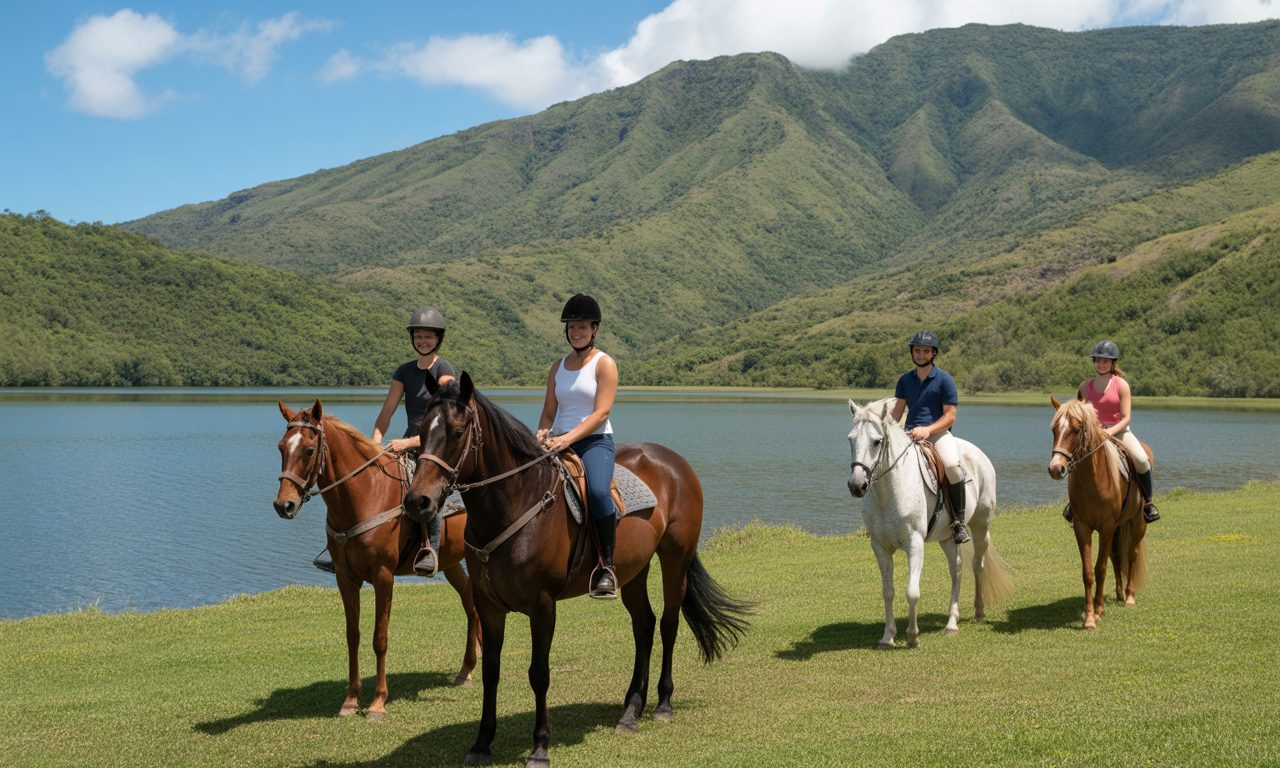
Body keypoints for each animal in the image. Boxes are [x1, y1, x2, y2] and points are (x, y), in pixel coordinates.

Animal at [273, 400, 481, 720]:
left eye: (308, 449)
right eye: (281, 447)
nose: (284, 505)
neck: (366, 495)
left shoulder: (383, 577)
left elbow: (379, 638)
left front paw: (378, 702)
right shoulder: (345, 578)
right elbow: (353, 636)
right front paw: (350, 700)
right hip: (450, 562)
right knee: (470, 601)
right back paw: (466, 669)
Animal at [401, 373, 752, 768]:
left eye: (458, 431)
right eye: (421, 431)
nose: (417, 501)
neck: (517, 501)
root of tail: (674, 462)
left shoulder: (542, 604)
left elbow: (539, 674)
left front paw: (540, 748)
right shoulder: (488, 605)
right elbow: (491, 671)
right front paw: (482, 743)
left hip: (675, 559)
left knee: (668, 625)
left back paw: (663, 703)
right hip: (632, 571)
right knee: (644, 626)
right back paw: (631, 710)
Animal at [846, 397, 1012, 649]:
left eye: (877, 442)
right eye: (851, 439)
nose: (857, 485)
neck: (890, 491)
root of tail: (978, 453)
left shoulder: (914, 543)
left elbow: (912, 592)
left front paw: (912, 637)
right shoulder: (880, 546)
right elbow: (888, 591)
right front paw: (888, 637)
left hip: (981, 525)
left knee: (977, 564)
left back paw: (978, 611)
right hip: (947, 537)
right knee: (957, 571)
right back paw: (952, 623)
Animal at [1047, 396, 1149, 629]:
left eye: (1076, 429)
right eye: (1054, 429)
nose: (1056, 468)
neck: (1093, 479)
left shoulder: (1106, 526)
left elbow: (1100, 568)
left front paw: (1098, 611)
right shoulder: (1082, 527)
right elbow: (1088, 572)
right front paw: (1089, 617)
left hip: (1138, 522)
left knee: (1131, 554)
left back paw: (1129, 597)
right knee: (1117, 556)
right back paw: (1119, 594)